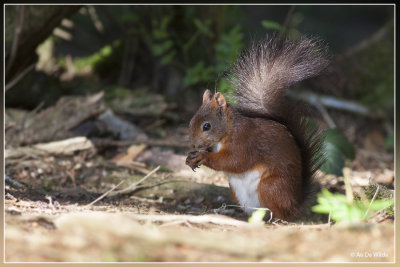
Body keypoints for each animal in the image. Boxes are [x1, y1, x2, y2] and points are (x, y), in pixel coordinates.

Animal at [184, 35, 328, 221]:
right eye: (190, 122)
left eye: (206, 126)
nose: (194, 145)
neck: (229, 130)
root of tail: (296, 202)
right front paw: (190, 157)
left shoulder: (246, 142)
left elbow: (234, 161)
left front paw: (203, 156)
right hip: (236, 192)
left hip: (271, 186)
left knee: (281, 213)